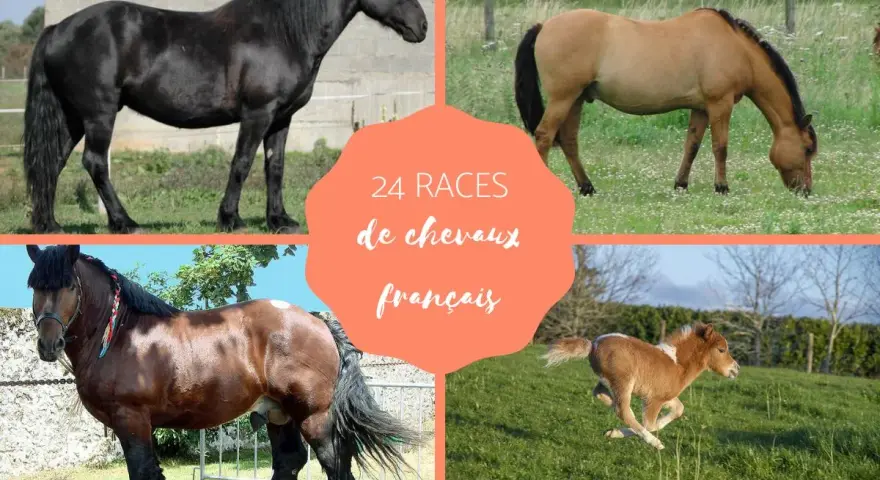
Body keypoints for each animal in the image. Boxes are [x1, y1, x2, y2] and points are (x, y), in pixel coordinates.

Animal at [23, 0, 428, 234]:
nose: (422, 26)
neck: (283, 33)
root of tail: (57, 29)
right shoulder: (257, 114)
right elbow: (242, 163)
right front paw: (230, 219)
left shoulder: (281, 119)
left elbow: (274, 166)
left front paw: (280, 221)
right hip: (99, 114)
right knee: (95, 163)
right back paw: (125, 223)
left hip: (72, 118)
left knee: (52, 164)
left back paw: (51, 225)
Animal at [24, 244, 421, 480]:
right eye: (35, 287)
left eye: (69, 286)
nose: (48, 343)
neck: (122, 333)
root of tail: (318, 322)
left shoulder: (131, 419)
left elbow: (143, 472)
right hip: (279, 414)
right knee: (290, 460)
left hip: (315, 417)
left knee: (334, 464)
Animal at [514, 8, 817, 197]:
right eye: (807, 149)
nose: (806, 191)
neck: (735, 47)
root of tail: (544, 26)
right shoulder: (720, 104)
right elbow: (720, 147)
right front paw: (721, 187)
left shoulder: (701, 108)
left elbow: (692, 146)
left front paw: (681, 184)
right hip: (563, 98)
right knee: (544, 136)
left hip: (576, 99)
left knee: (568, 141)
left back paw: (587, 187)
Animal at [542, 323, 740, 450]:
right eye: (721, 350)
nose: (736, 369)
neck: (677, 364)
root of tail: (593, 345)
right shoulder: (654, 400)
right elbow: (649, 425)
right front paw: (629, 434)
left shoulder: (665, 396)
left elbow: (678, 409)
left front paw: (614, 432)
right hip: (623, 381)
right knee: (622, 411)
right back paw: (654, 442)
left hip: (611, 381)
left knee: (601, 394)